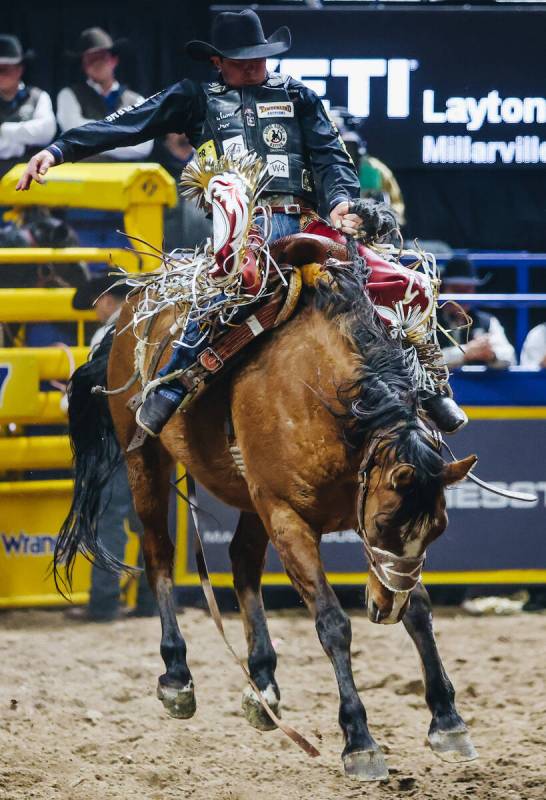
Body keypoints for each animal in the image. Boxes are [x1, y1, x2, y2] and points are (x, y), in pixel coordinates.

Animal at [55, 152, 482, 780]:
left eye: (438, 530)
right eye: (385, 524)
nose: (382, 608)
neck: (326, 394)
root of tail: (134, 308)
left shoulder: (319, 507)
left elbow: (422, 610)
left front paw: (447, 719)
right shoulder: (289, 517)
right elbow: (331, 622)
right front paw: (359, 739)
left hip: (248, 493)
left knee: (240, 562)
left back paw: (263, 684)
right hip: (148, 463)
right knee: (158, 554)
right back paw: (177, 676)